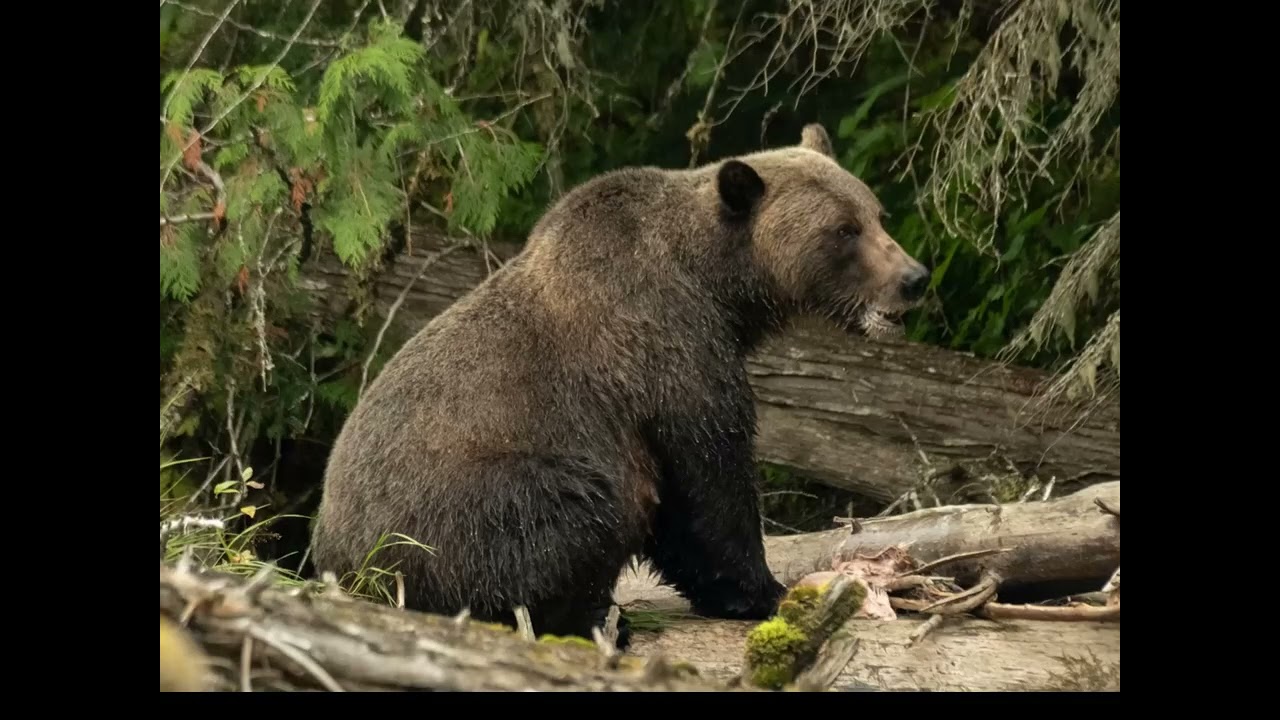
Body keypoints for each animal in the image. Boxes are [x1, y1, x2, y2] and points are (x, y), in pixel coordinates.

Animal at [309, 123, 930, 648]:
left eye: (877, 214)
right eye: (843, 230)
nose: (914, 278)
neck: (719, 287)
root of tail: (340, 562)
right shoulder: (667, 350)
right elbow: (707, 479)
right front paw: (765, 591)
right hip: (460, 513)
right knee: (580, 508)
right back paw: (593, 619)